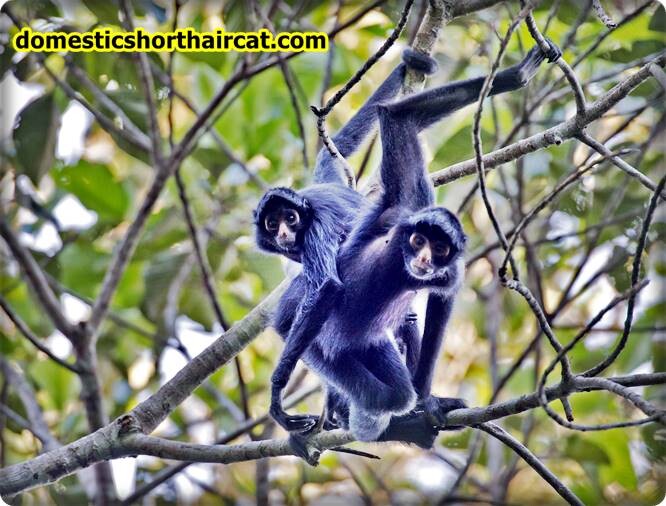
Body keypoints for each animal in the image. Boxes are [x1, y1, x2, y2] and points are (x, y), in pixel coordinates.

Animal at [269, 39, 562, 452]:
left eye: (438, 249)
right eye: (419, 242)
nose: (422, 257)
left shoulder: (444, 267)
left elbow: (444, 297)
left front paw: (428, 399)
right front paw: (279, 395)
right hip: (325, 344)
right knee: (385, 393)